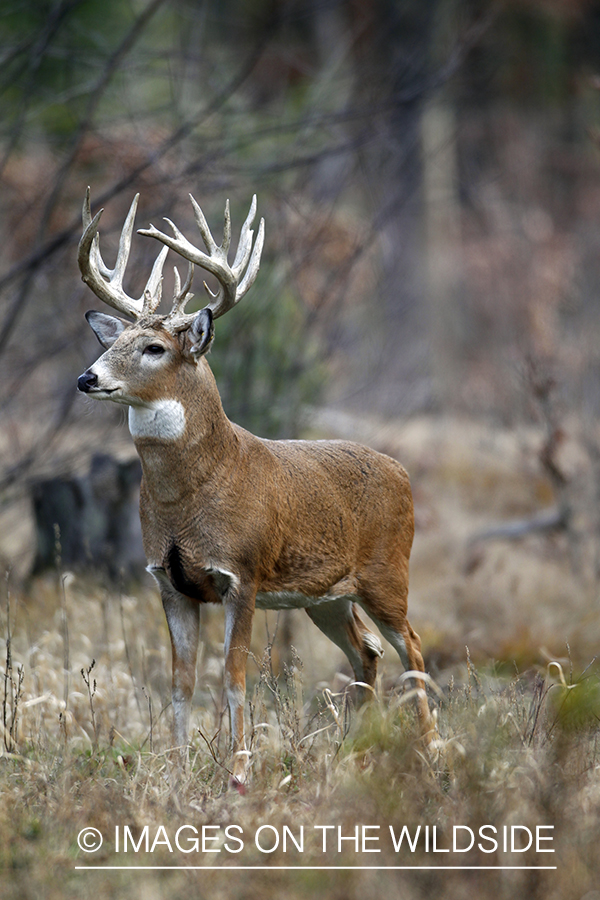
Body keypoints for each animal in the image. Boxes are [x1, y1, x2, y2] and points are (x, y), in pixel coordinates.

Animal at [77, 188, 432, 780]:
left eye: (154, 348)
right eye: (117, 339)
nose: (88, 377)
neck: (189, 499)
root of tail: (401, 471)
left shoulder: (241, 573)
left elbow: (235, 677)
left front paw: (239, 770)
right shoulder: (167, 581)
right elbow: (181, 682)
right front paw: (177, 770)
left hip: (388, 575)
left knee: (413, 648)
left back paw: (433, 751)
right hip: (324, 596)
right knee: (367, 651)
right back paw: (348, 754)